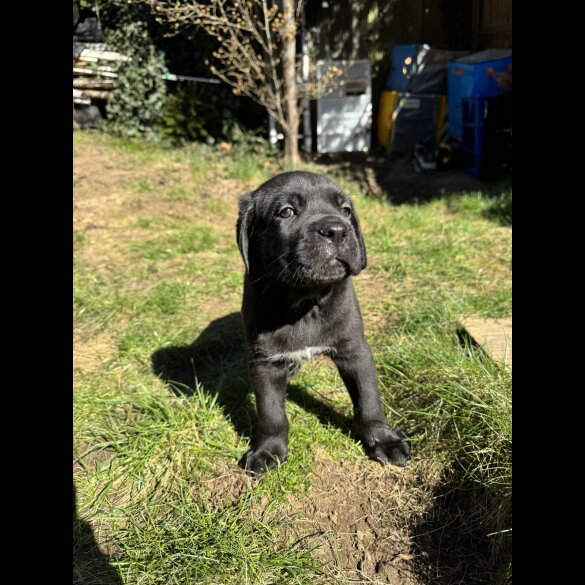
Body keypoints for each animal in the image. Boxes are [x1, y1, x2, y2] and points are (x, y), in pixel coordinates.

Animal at [235, 170, 408, 474]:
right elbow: (271, 413)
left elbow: (369, 401)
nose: (337, 230)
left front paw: (384, 440)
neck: (306, 301)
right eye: (286, 211)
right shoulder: (264, 361)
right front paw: (268, 451)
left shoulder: (355, 351)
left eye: (346, 210)